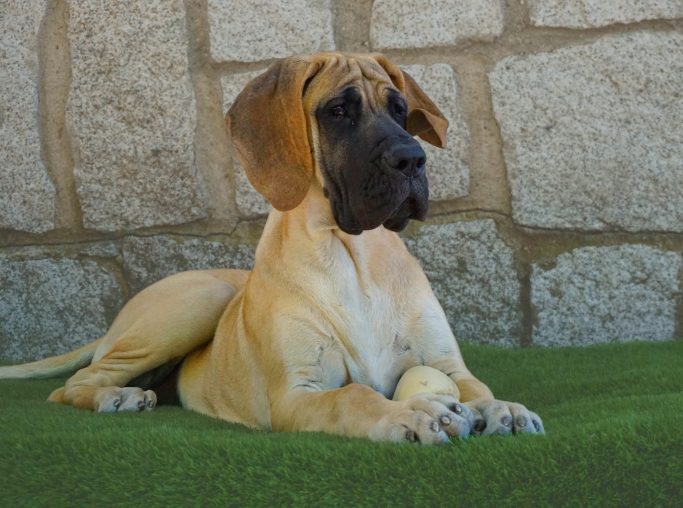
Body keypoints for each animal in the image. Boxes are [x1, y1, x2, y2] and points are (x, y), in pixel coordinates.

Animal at [1, 52, 544, 444]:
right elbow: (354, 397)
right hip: (200, 300)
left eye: (399, 110)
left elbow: (476, 387)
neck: (353, 256)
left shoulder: (449, 365)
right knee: (69, 386)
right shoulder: (297, 393)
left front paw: (501, 408)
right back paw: (117, 397)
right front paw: (406, 416)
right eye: (338, 111)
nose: (412, 159)